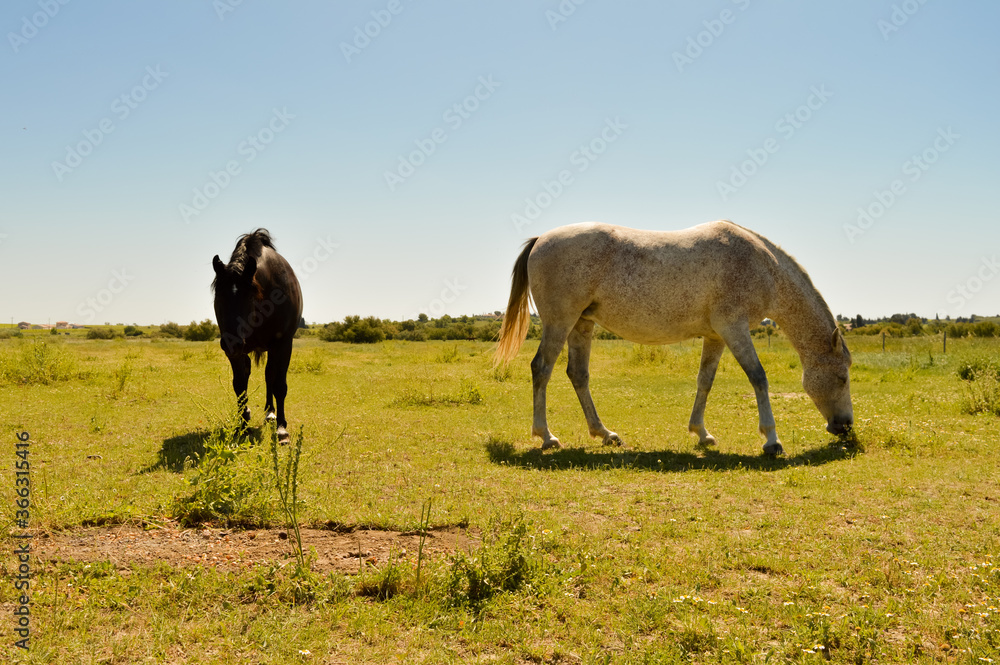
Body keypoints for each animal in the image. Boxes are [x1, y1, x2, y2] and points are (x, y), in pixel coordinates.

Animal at [212, 229, 303, 443]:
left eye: (249, 297)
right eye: (218, 296)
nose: (231, 342)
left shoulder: (283, 344)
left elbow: (279, 385)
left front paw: (282, 429)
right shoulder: (237, 351)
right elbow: (239, 385)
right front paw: (242, 424)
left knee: (270, 376)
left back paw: (271, 413)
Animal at [493, 221, 853, 456]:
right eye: (843, 377)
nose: (845, 427)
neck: (760, 265)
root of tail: (541, 239)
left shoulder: (716, 335)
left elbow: (705, 381)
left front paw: (702, 433)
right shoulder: (734, 328)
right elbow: (758, 378)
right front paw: (771, 440)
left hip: (582, 324)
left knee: (577, 375)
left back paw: (605, 434)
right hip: (560, 322)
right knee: (541, 369)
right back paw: (546, 437)